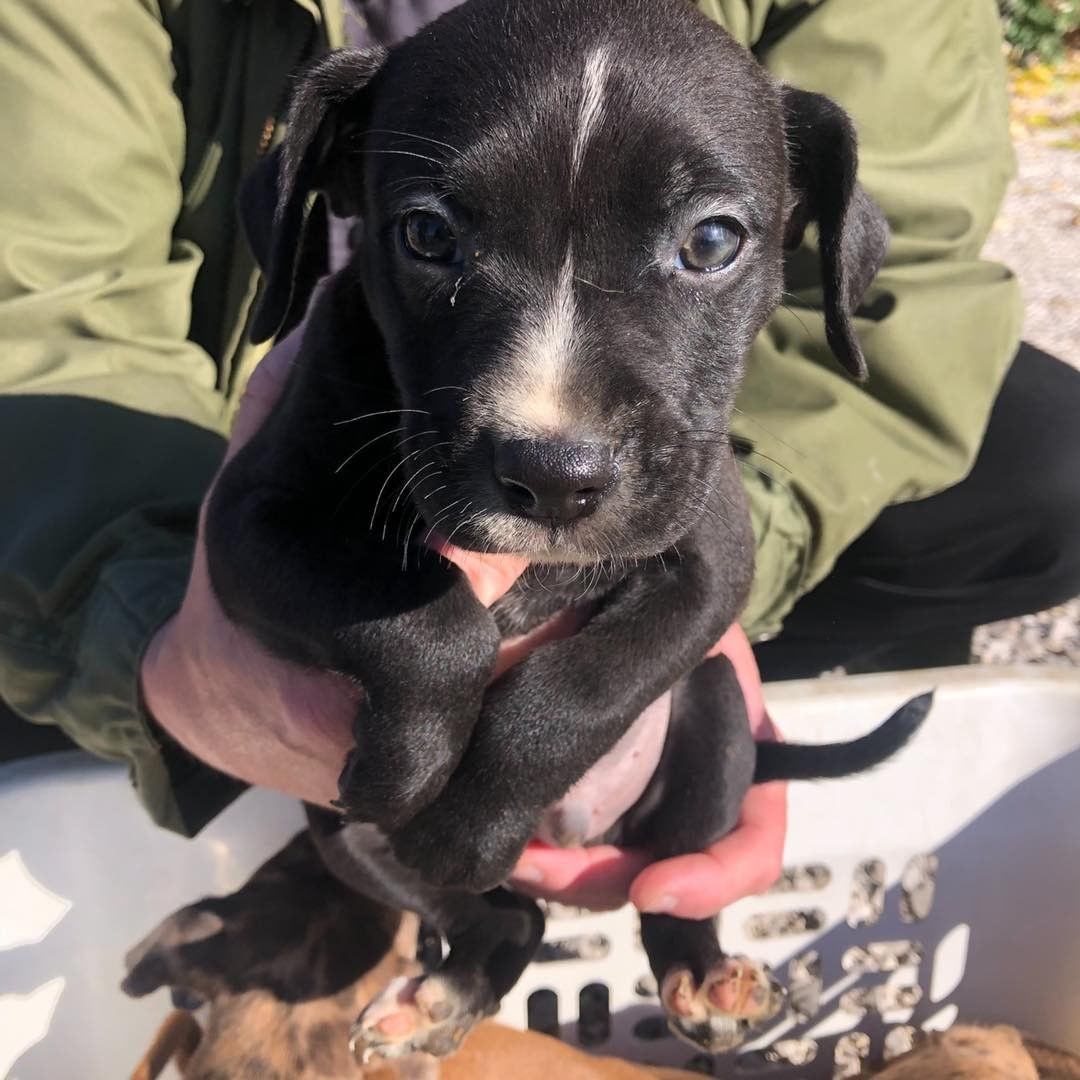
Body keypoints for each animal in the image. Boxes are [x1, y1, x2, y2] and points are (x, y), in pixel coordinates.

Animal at [204, 0, 928, 1058]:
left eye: (713, 241)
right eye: (426, 234)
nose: (553, 477)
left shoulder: (712, 559)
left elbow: (584, 688)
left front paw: (465, 822)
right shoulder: (247, 531)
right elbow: (428, 625)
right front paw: (415, 773)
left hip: (715, 716)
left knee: (667, 894)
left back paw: (704, 978)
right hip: (335, 834)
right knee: (507, 919)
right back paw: (441, 993)